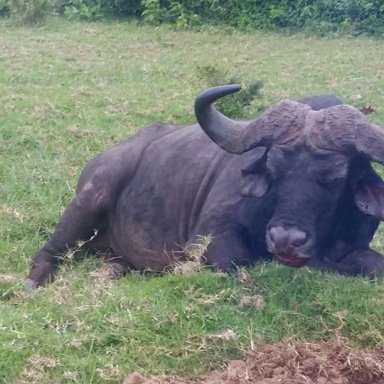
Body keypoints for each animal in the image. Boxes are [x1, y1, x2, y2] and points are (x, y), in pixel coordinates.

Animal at [25, 84, 384, 288]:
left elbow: (372, 265)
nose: (286, 239)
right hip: (92, 196)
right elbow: (236, 262)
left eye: (335, 178)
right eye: (274, 170)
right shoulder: (209, 242)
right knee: (52, 249)